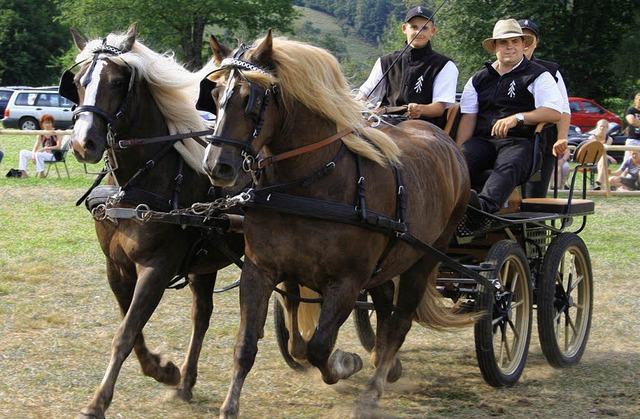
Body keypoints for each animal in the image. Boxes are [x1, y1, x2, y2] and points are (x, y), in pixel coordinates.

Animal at [61, 24, 245, 418]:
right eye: (79, 82)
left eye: (118, 82)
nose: (83, 144)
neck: (134, 185)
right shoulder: (117, 267)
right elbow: (131, 330)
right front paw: (164, 370)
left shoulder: (157, 268)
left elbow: (125, 333)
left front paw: (97, 403)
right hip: (206, 262)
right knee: (201, 315)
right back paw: (186, 383)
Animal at [200, 31, 476, 418]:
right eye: (214, 94)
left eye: (250, 98)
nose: (217, 166)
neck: (311, 183)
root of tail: (446, 143)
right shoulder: (261, 270)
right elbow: (252, 345)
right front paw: (230, 406)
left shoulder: (346, 282)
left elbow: (319, 346)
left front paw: (345, 364)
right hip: (389, 260)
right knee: (385, 309)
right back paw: (387, 365)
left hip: (424, 259)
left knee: (400, 321)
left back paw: (373, 390)